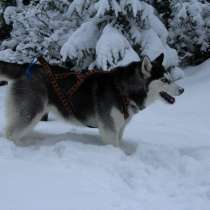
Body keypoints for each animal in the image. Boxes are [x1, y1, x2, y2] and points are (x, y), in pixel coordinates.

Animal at [0, 53, 184, 146]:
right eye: (164, 80)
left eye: (170, 78)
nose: (182, 90)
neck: (123, 89)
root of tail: (25, 67)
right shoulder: (109, 130)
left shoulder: (119, 129)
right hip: (31, 112)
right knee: (10, 133)